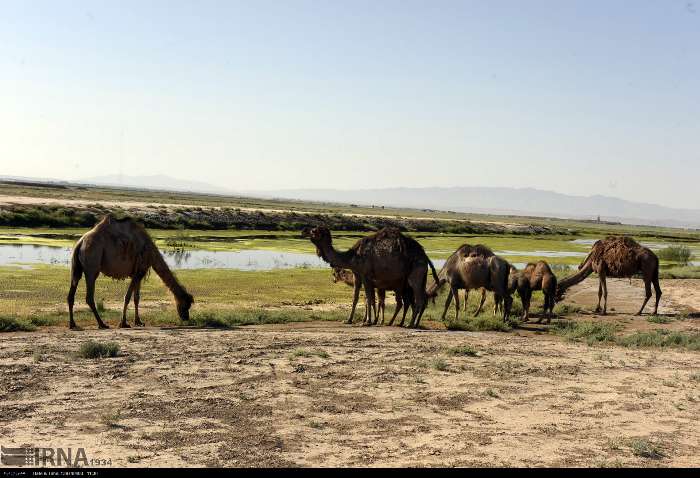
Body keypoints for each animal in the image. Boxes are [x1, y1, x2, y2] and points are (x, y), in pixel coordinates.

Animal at [302, 226, 438, 326]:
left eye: (314, 231)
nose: (303, 231)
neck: (353, 256)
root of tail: (425, 256)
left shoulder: (366, 275)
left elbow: (368, 298)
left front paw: (367, 322)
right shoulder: (357, 275)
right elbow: (355, 298)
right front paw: (348, 320)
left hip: (415, 274)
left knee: (418, 299)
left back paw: (410, 324)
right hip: (420, 277)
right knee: (420, 299)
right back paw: (411, 323)